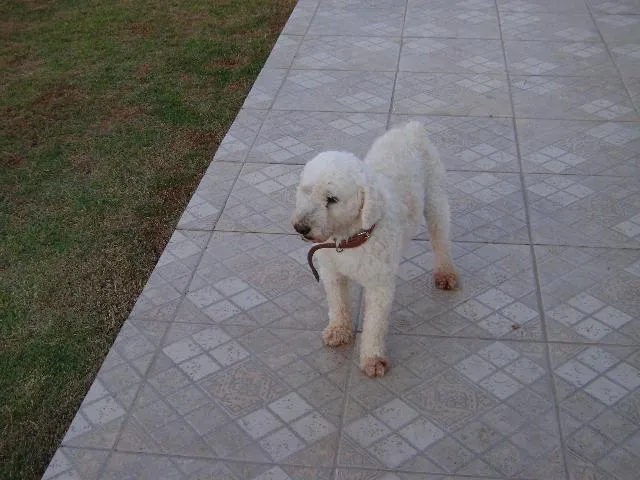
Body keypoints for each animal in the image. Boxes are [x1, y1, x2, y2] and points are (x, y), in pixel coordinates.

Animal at [292, 122, 458, 376]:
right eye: (306, 190)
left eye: (332, 199)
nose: (300, 228)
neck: (350, 238)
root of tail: (411, 128)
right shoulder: (331, 272)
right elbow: (337, 303)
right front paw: (339, 330)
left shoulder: (380, 284)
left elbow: (375, 325)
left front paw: (372, 359)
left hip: (435, 199)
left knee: (441, 239)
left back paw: (446, 273)